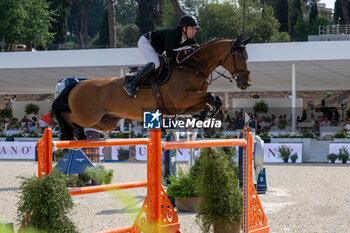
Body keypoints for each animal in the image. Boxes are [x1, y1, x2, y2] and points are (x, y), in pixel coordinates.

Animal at [52, 34, 252, 140]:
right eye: (239, 56)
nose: (246, 83)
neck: (192, 67)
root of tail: (77, 84)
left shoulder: (188, 103)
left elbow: (214, 100)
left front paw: (206, 120)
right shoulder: (180, 100)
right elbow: (210, 98)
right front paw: (204, 118)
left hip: (106, 121)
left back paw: (79, 136)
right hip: (87, 116)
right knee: (67, 116)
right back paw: (74, 134)